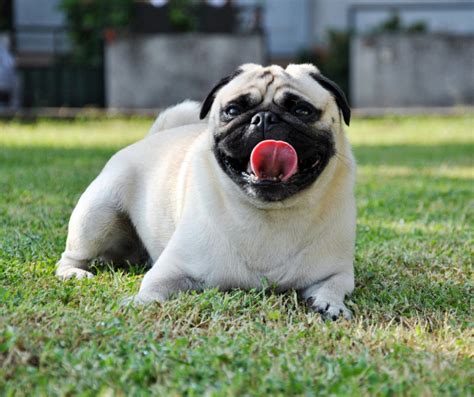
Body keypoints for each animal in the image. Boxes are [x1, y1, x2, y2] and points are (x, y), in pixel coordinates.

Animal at [57, 63, 356, 320]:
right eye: (233, 110)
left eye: (302, 111)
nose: (264, 118)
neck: (269, 214)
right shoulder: (172, 268)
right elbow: (152, 288)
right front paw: (138, 303)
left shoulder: (336, 273)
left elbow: (333, 287)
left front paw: (330, 305)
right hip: (96, 217)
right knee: (71, 256)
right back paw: (74, 273)